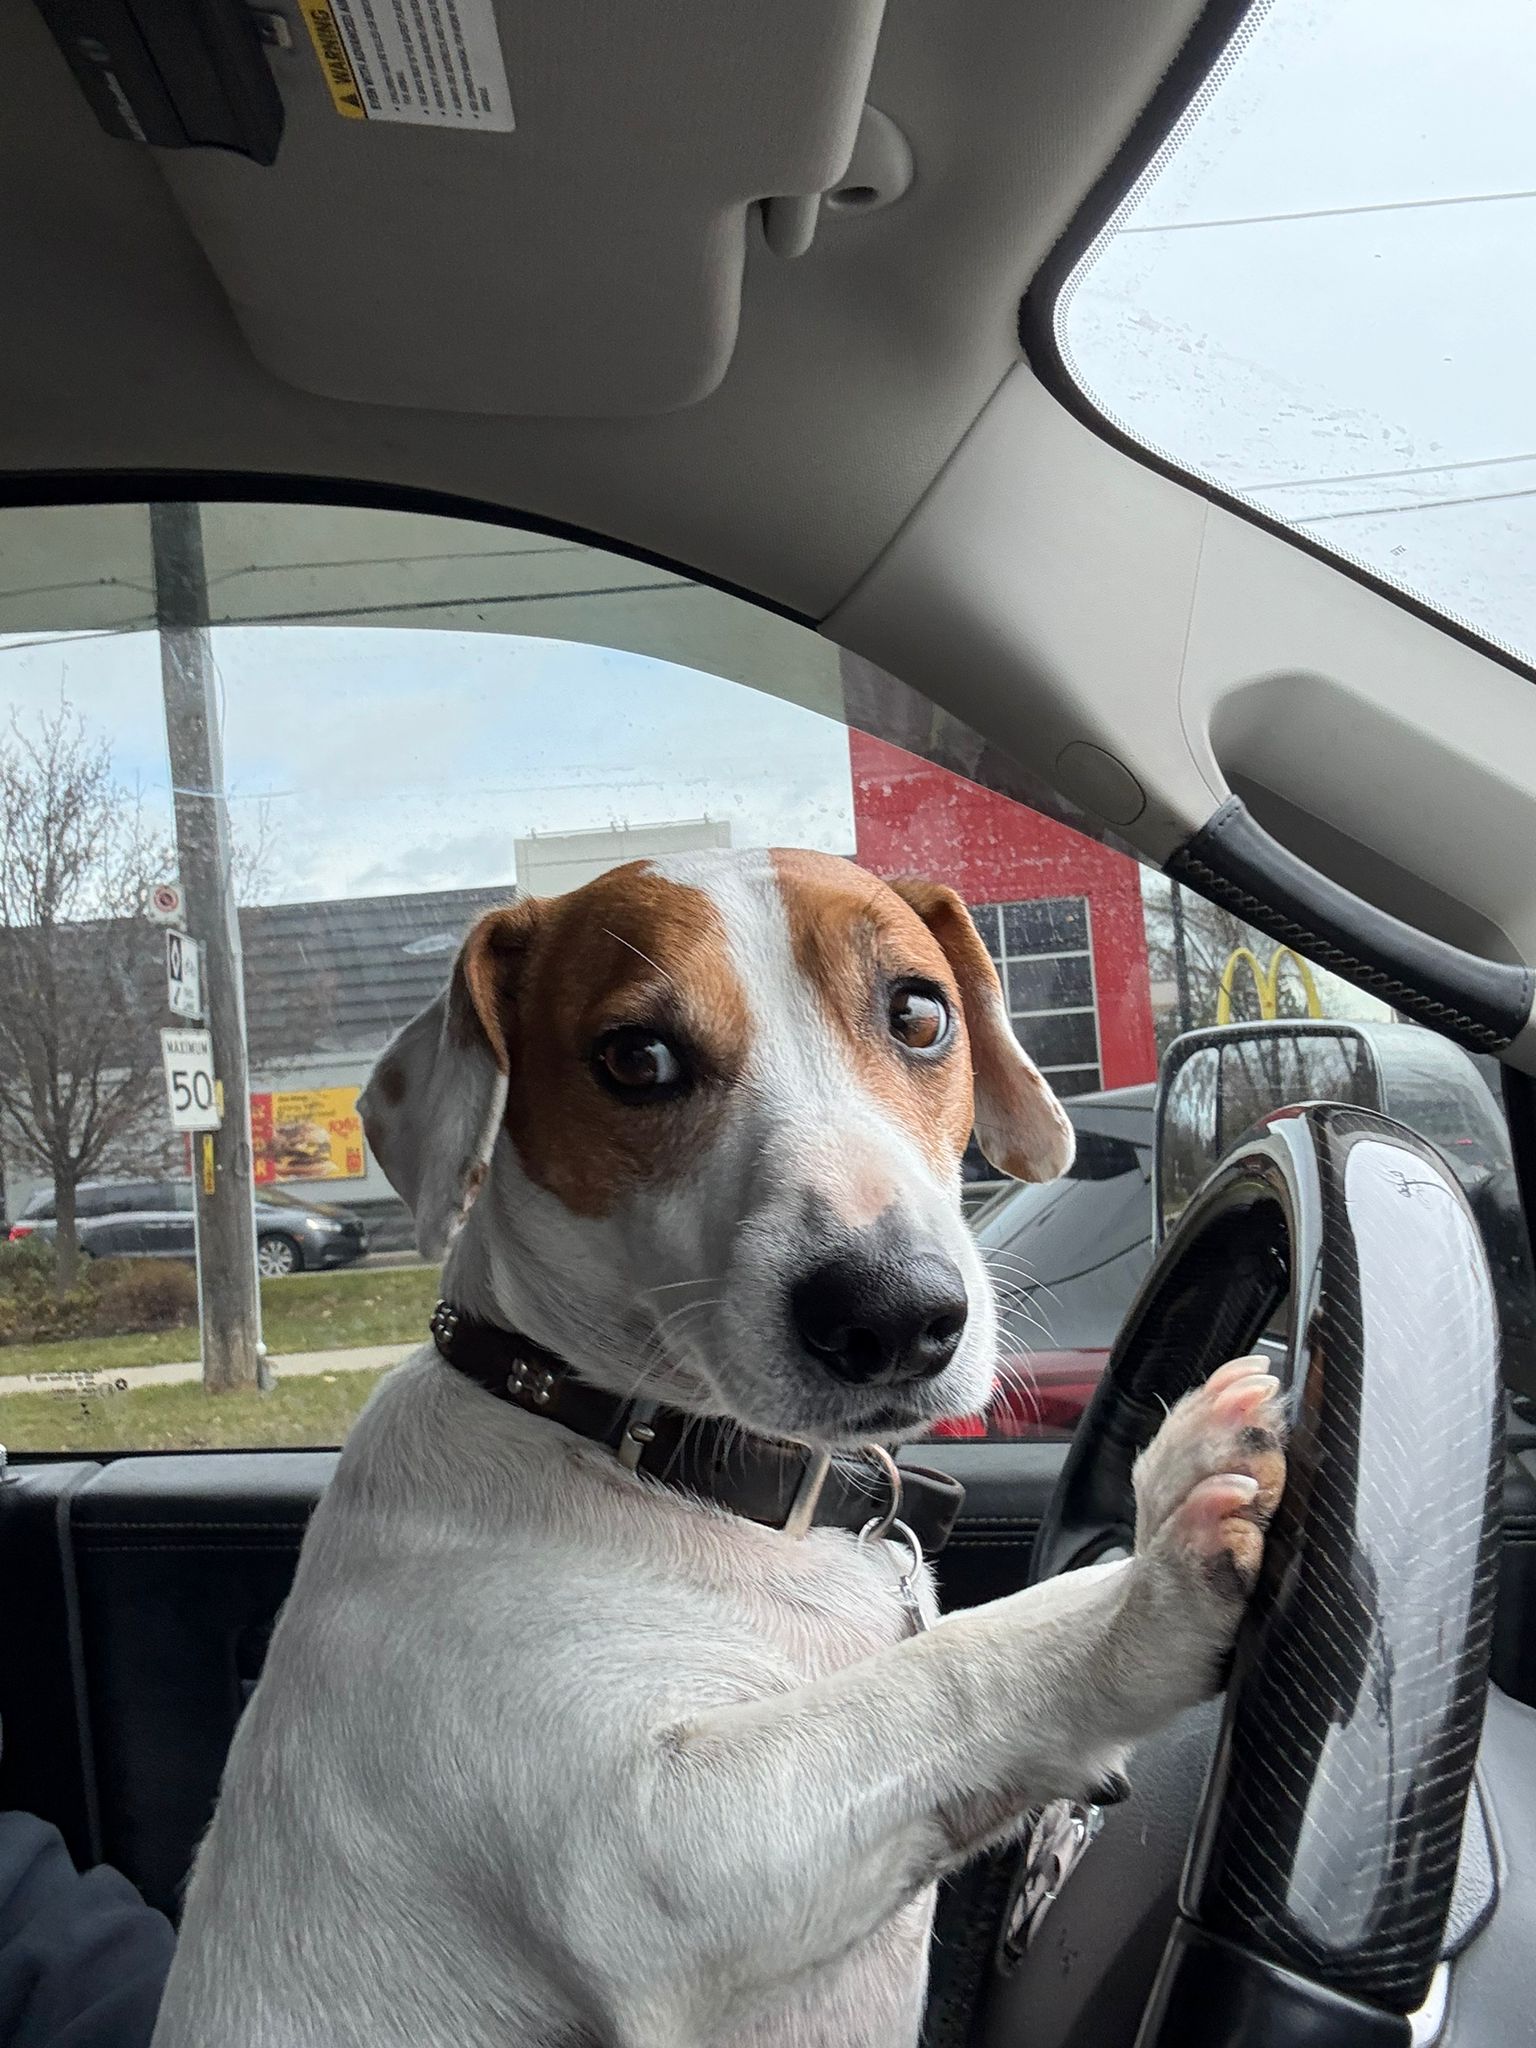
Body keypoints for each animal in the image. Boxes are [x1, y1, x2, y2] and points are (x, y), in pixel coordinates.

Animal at [156, 847, 1286, 2048]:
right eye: (636, 1057)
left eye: (920, 1012)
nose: (894, 1315)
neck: (620, 1438)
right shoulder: (658, 1853)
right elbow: (954, 1669)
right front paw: (1152, 1592)